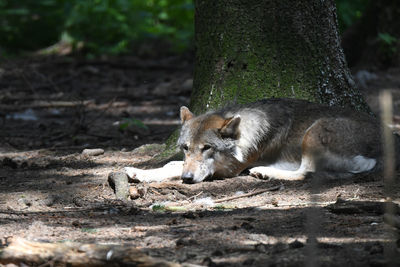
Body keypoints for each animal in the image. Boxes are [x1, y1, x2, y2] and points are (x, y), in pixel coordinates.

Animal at [126, 98, 394, 184]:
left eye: (207, 148)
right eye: (185, 148)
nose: (188, 179)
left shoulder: (229, 170)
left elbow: (173, 168)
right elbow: (172, 164)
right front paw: (140, 172)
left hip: (314, 130)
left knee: (304, 172)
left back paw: (265, 172)